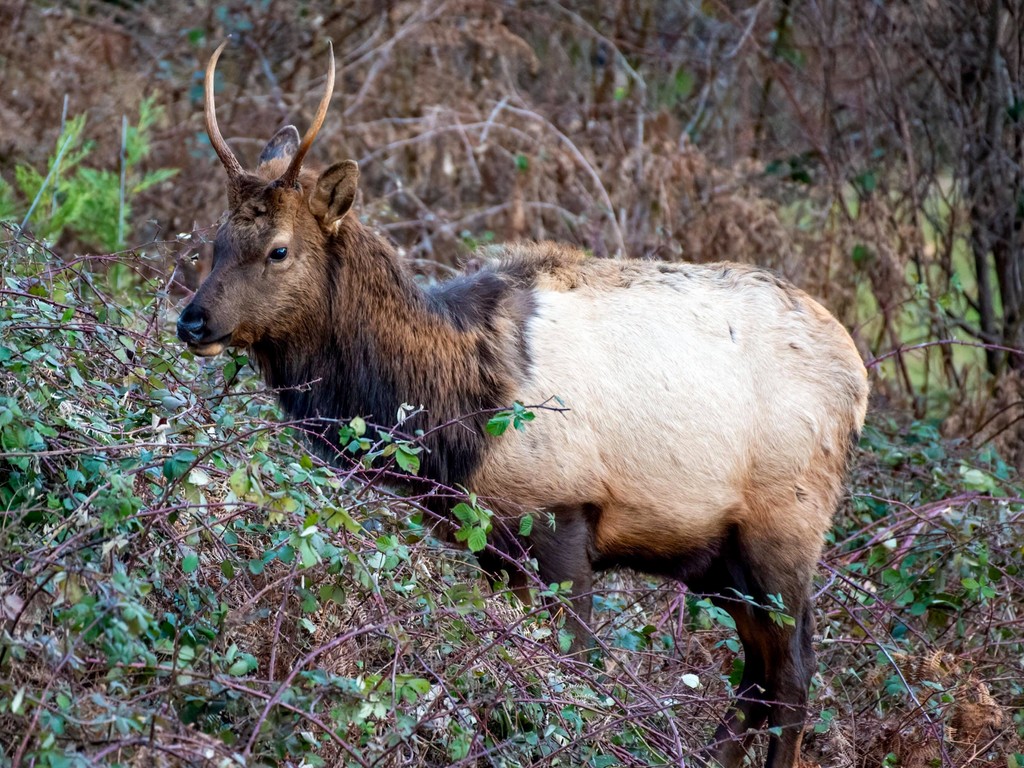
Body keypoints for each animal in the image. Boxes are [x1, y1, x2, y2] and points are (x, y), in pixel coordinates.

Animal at [178, 43, 872, 768]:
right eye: (216, 242)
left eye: (278, 250)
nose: (192, 321)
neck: (452, 426)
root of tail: (857, 379)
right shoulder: (492, 540)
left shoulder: (563, 514)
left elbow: (578, 673)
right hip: (719, 558)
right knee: (757, 680)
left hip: (785, 527)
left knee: (792, 679)